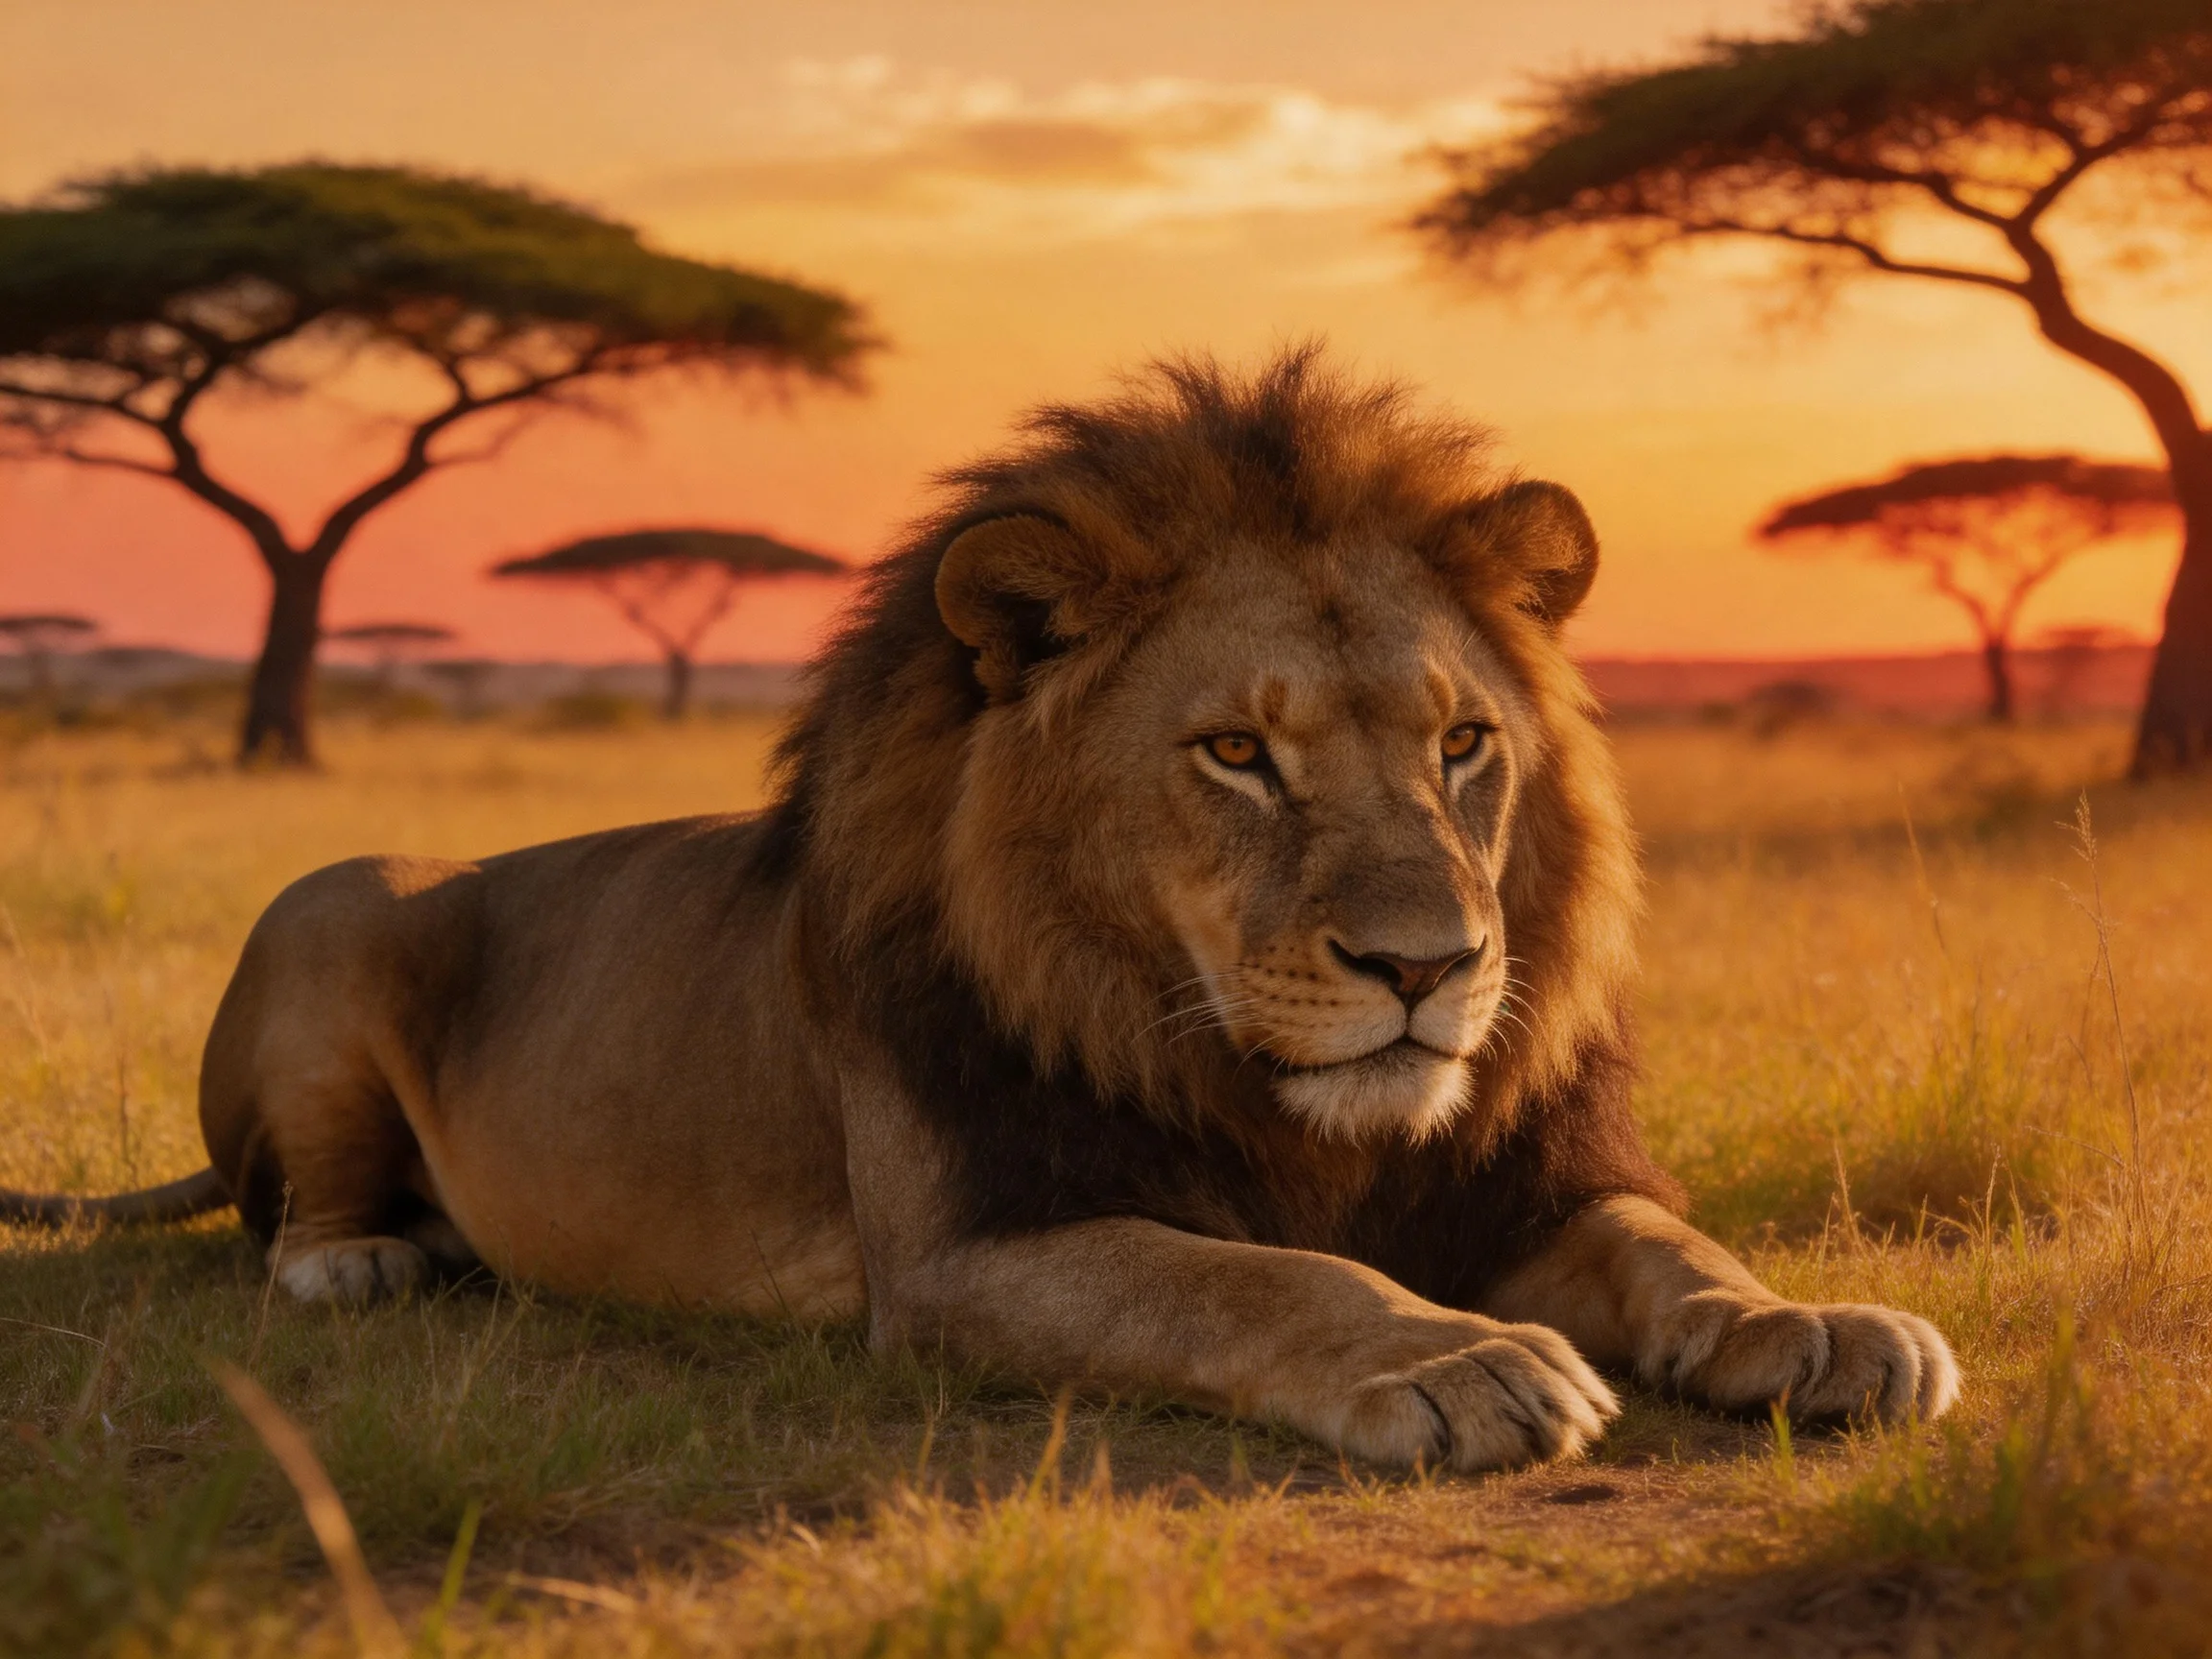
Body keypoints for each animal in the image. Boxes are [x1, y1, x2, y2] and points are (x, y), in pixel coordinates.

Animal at [3, 349, 1957, 1471]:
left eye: (1461, 742)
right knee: (299, 1210)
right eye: (1237, 752)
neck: (1271, 1092)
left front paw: (1816, 1325)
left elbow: (1670, 1247)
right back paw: (366, 1256)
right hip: (337, 898)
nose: (1427, 966)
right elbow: (1252, 1273)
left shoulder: (1529, 1181)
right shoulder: (968, 1250)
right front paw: (1460, 1353)